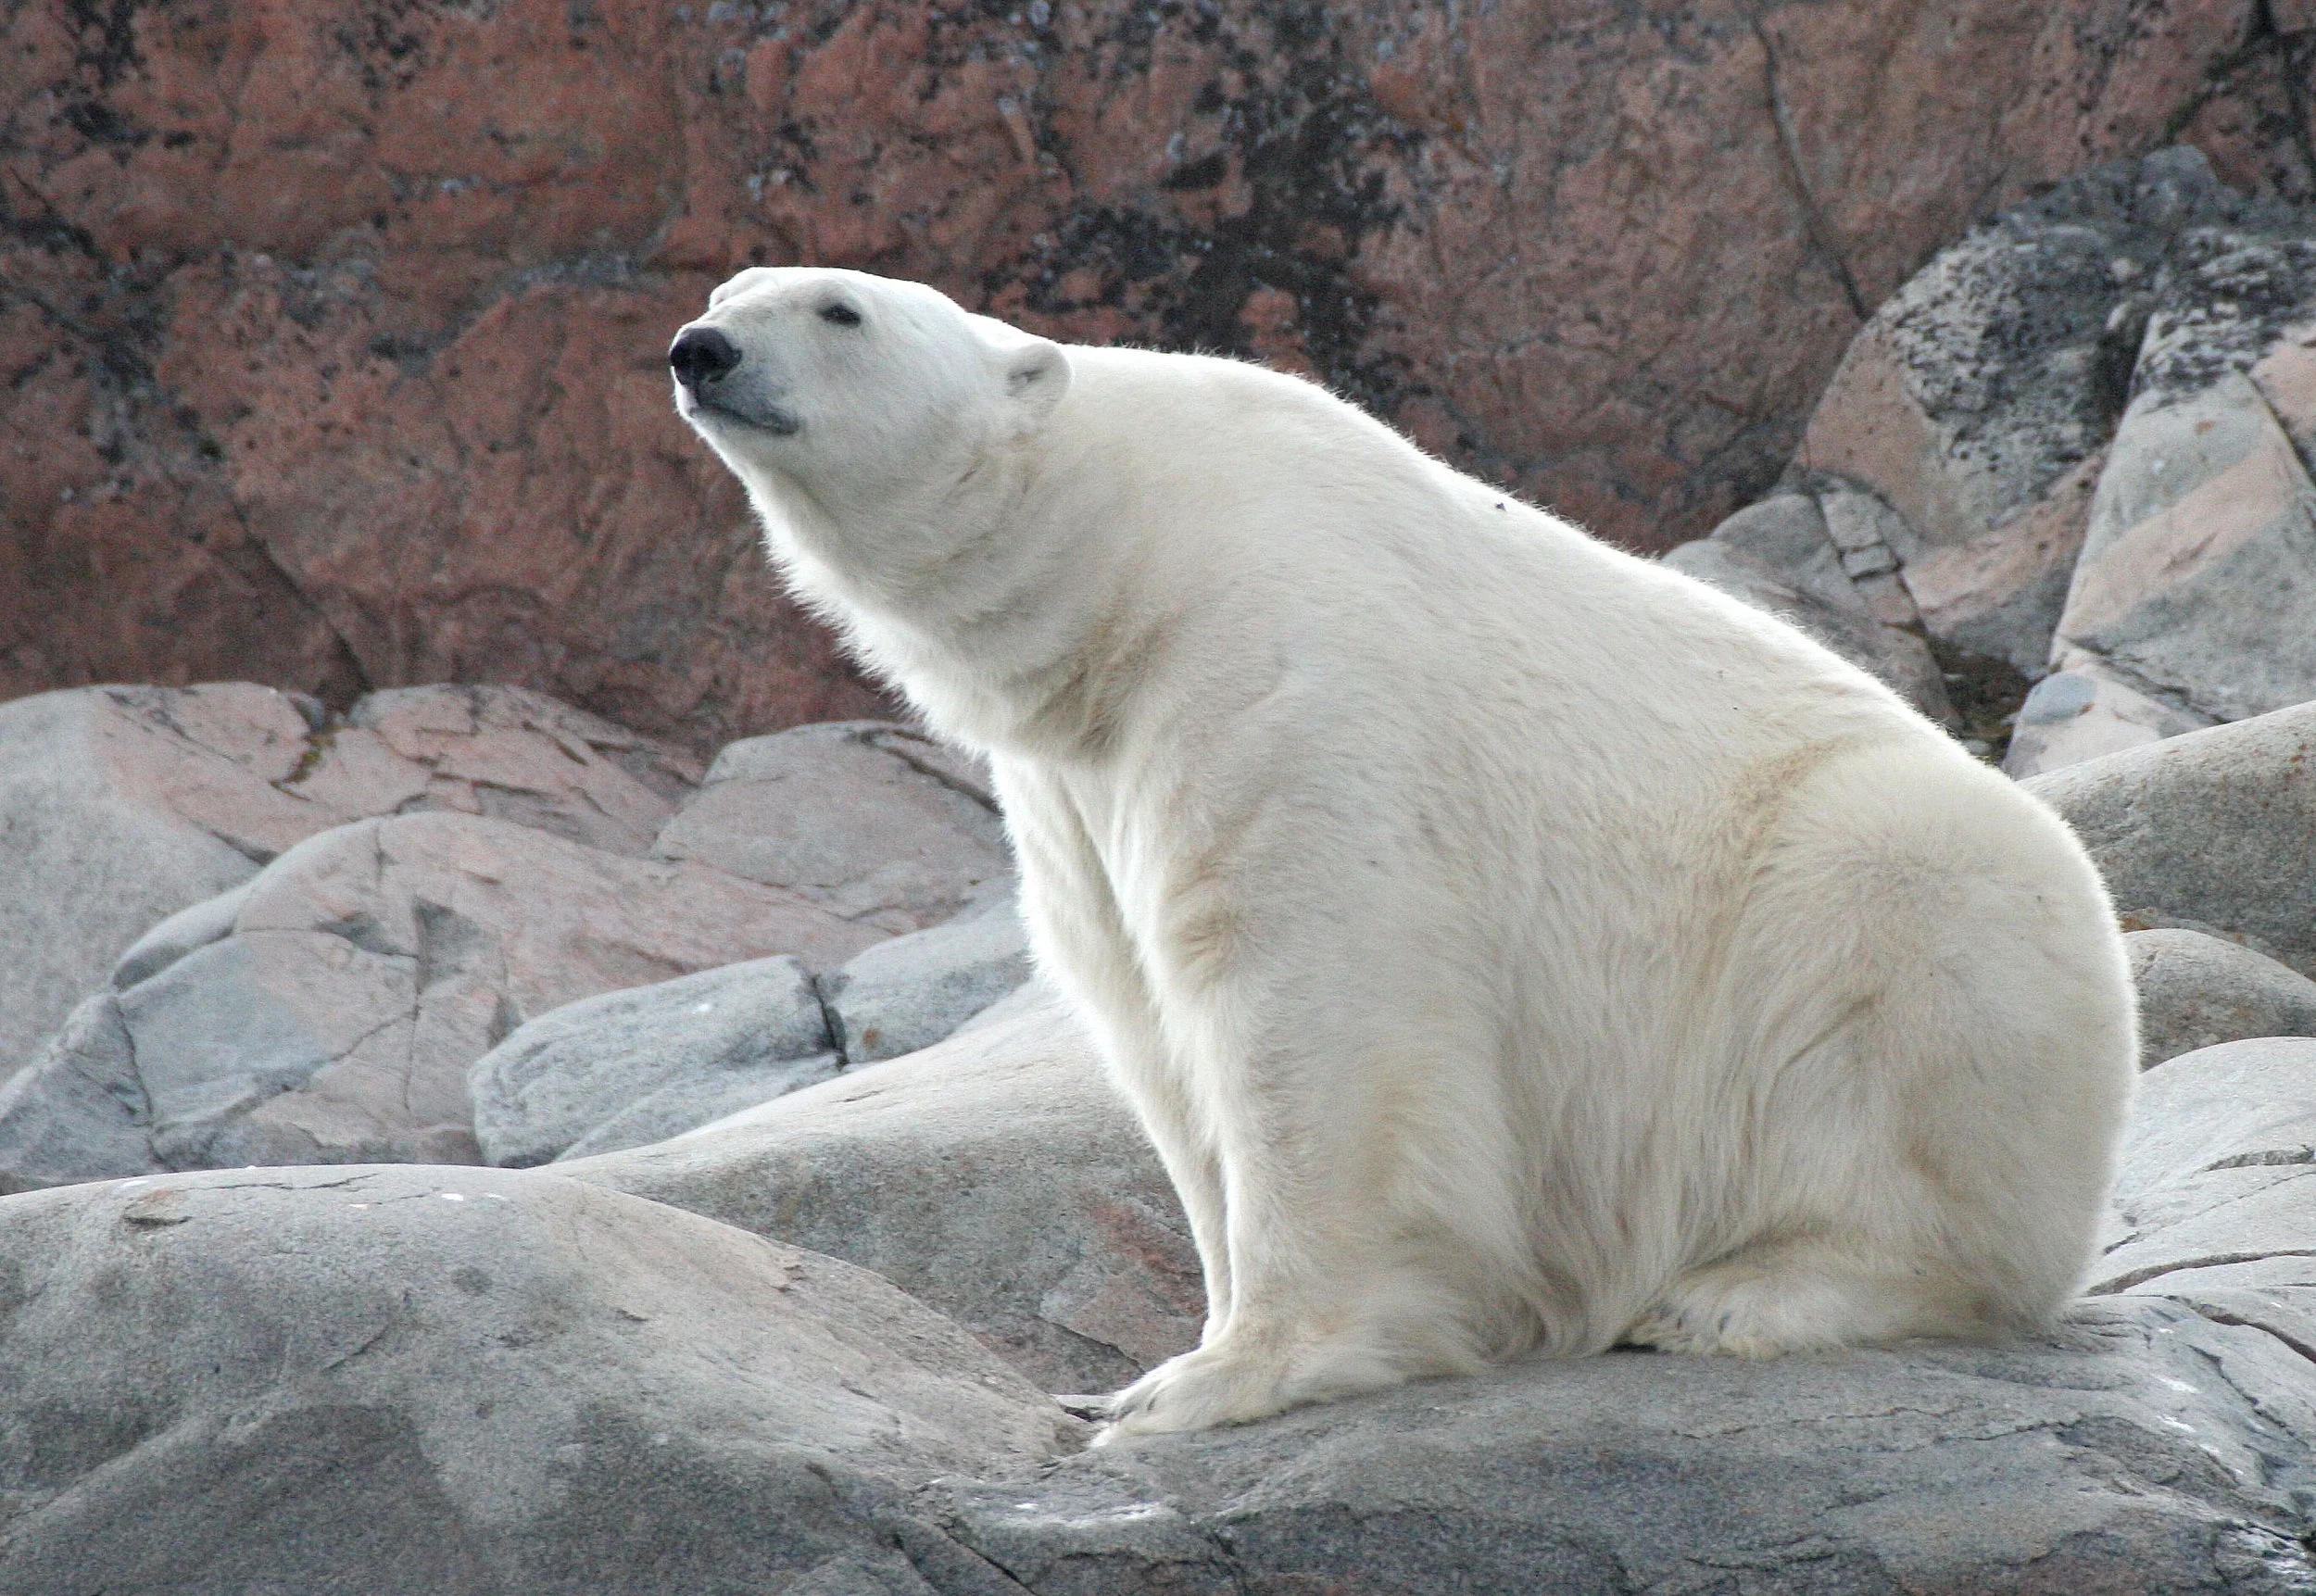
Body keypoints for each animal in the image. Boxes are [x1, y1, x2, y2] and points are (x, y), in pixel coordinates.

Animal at [669, 268, 2138, 1440]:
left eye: (840, 309)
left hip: (1887, 891)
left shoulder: (1281, 669)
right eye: (737, 285)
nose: (700, 349)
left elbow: (1307, 996)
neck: (1127, 557)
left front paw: (1211, 1377)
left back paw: (1735, 1294)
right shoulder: (1075, 781)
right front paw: (1159, 1354)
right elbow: (1146, 1020)